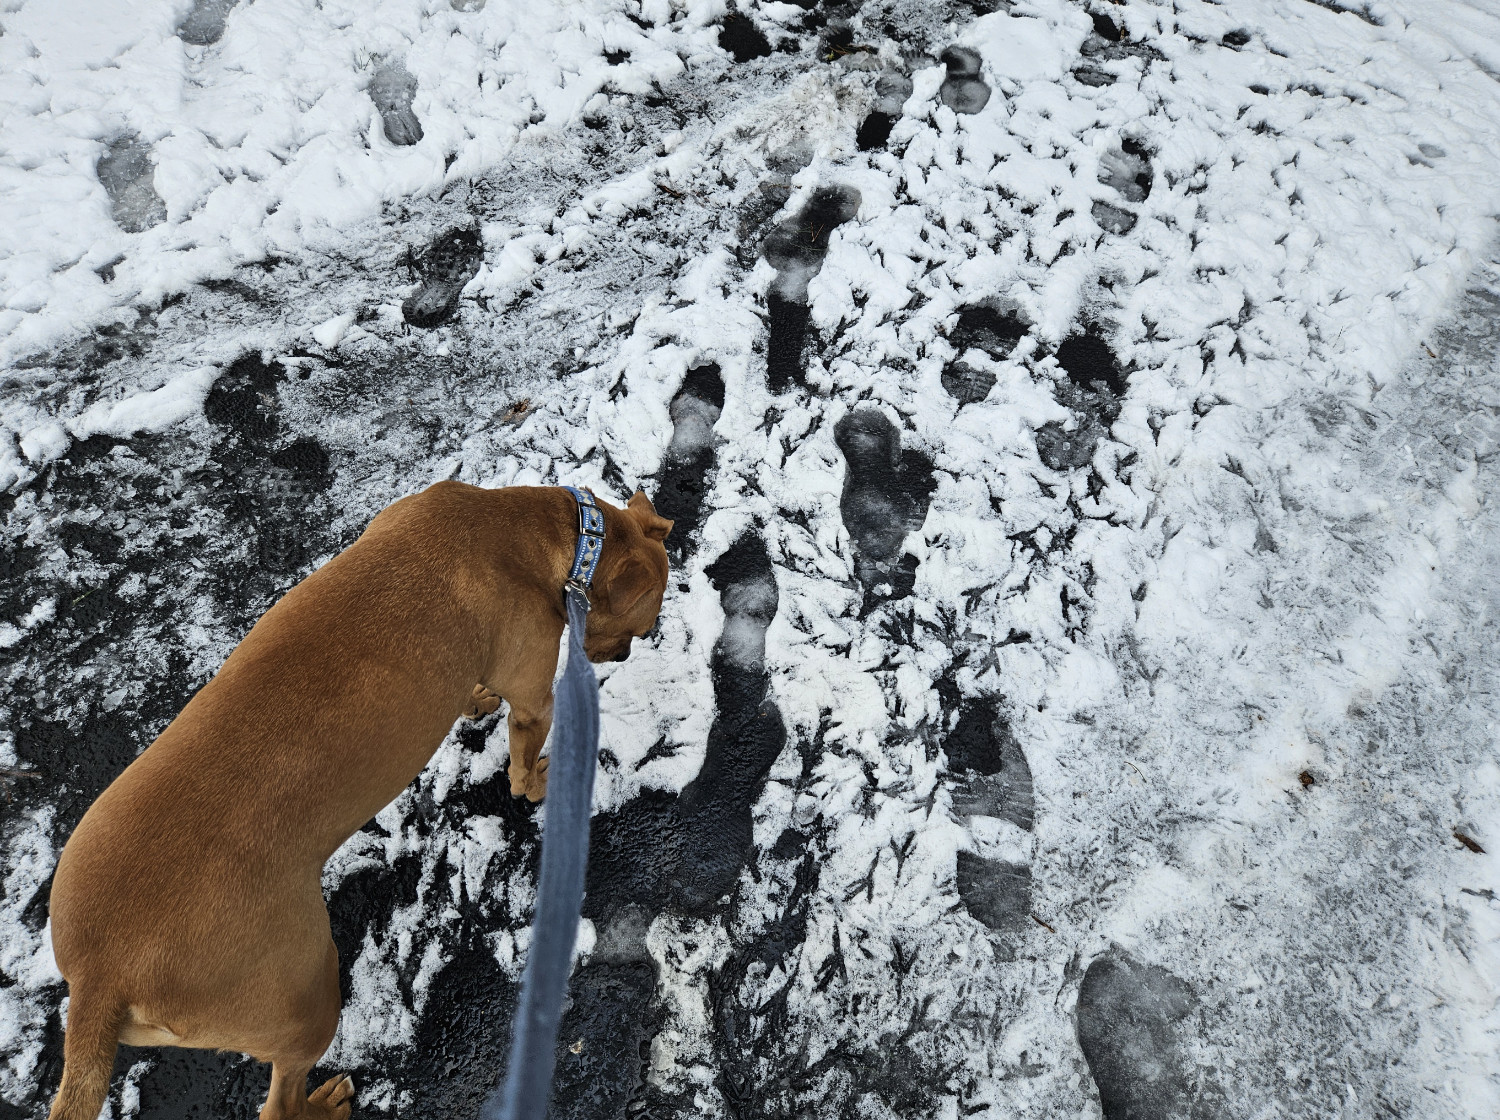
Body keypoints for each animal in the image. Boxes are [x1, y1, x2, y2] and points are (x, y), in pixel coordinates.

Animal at [45, 485, 675, 1120]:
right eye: (647, 619)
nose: (623, 655)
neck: (539, 527)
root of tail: (101, 977)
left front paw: (475, 696)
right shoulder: (534, 699)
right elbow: (523, 761)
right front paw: (539, 781)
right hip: (304, 996)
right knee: (279, 1102)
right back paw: (323, 1106)